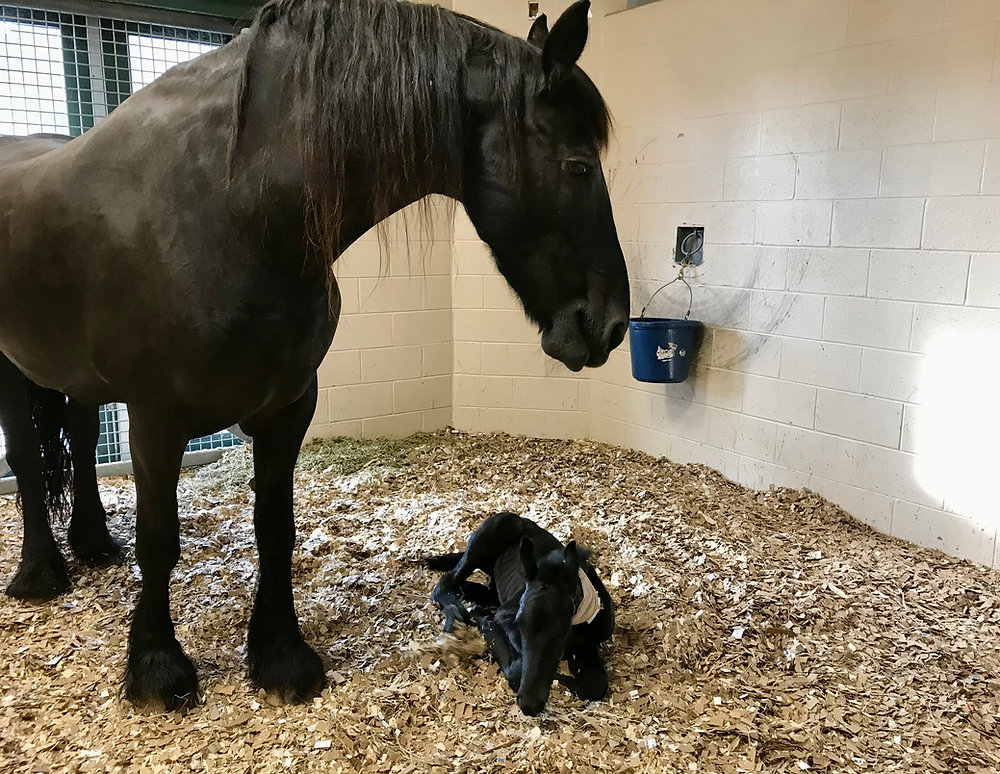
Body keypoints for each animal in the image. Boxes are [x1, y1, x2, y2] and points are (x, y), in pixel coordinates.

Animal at [429, 511, 614, 716]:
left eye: (563, 632)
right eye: (519, 623)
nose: (529, 705)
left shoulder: (588, 643)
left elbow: (595, 685)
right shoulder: (506, 614)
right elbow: (518, 670)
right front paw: (485, 621)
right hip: (481, 543)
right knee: (446, 582)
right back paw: (456, 618)